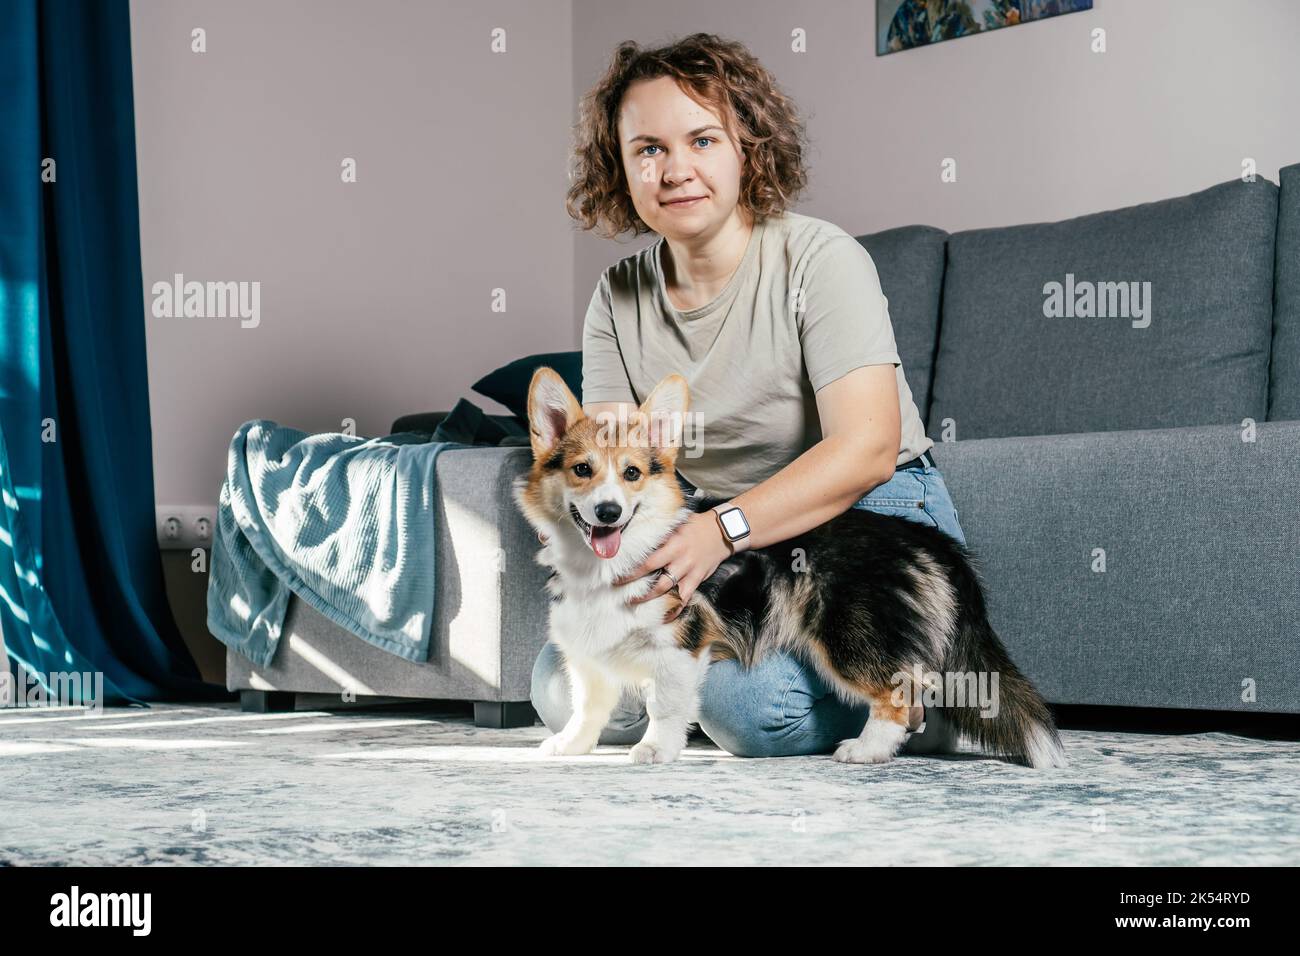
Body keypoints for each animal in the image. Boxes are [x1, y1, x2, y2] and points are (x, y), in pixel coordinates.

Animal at [506, 366, 1066, 770]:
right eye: (582, 470)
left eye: (632, 474)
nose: (608, 512)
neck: (607, 566)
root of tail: (921, 536)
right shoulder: (587, 656)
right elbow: (585, 705)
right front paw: (570, 746)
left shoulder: (680, 647)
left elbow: (666, 705)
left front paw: (654, 751)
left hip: (850, 636)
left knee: (900, 694)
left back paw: (864, 750)